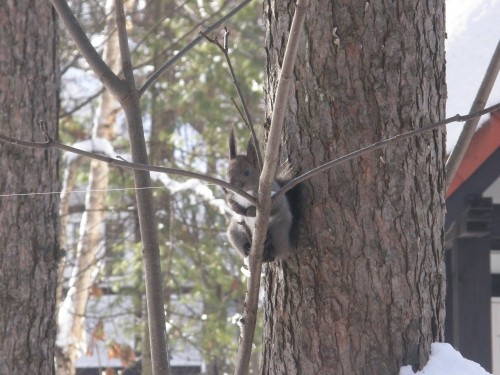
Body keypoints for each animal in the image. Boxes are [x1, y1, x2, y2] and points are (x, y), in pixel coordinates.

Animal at [226, 131, 294, 262]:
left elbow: (275, 206)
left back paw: (269, 250)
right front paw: (239, 209)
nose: (232, 186)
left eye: (246, 172)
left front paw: (250, 211)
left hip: (279, 230)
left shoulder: (274, 195)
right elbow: (230, 203)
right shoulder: (231, 196)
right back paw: (247, 247)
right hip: (235, 231)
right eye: (227, 173)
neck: (246, 193)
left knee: (277, 249)